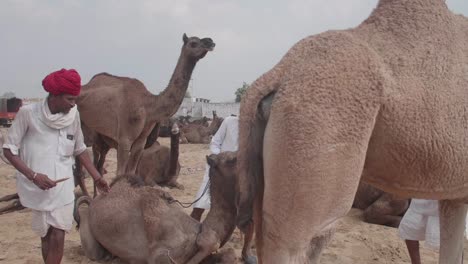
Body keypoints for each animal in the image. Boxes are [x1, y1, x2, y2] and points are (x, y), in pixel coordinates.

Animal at [77, 34, 216, 176]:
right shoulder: (124, 140)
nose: (210, 41)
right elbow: (120, 174)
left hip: (103, 139)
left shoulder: (140, 143)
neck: (149, 106)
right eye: (193, 43)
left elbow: (131, 172)